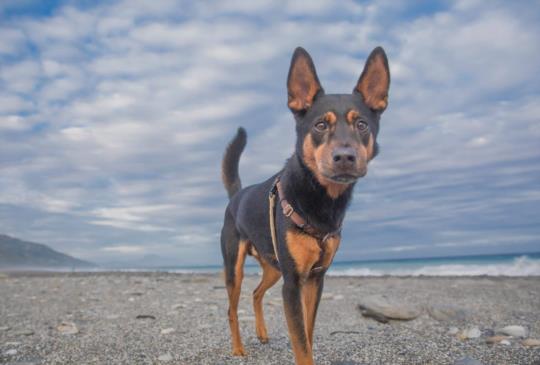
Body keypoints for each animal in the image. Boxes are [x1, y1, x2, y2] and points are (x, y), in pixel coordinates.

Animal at [221, 47, 390, 362]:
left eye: (361, 124)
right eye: (320, 125)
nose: (345, 157)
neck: (321, 198)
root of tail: (236, 196)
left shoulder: (315, 279)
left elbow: (308, 334)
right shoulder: (293, 284)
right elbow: (300, 343)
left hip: (273, 267)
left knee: (256, 293)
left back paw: (261, 333)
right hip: (234, 269)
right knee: (231, 308)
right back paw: (237, 348)